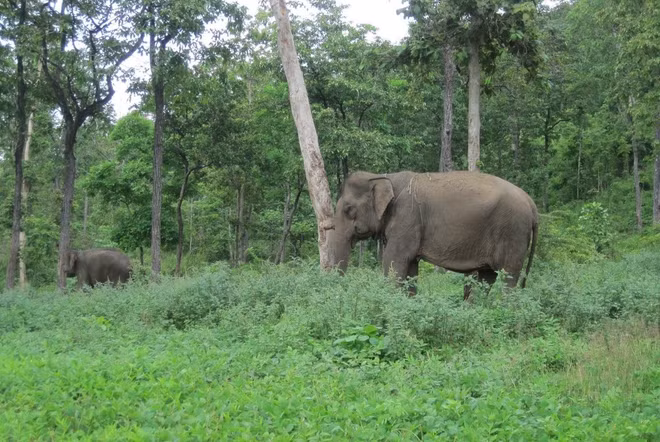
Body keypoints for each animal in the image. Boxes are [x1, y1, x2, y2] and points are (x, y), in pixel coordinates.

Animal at [328, 170, 539, 298]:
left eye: (348, 209)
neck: (384, 177)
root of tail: (531, 203)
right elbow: (410, 267)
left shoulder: (408, 218)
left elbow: (394, 261)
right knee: (487, 277)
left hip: (513, 231)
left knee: (508, 277)